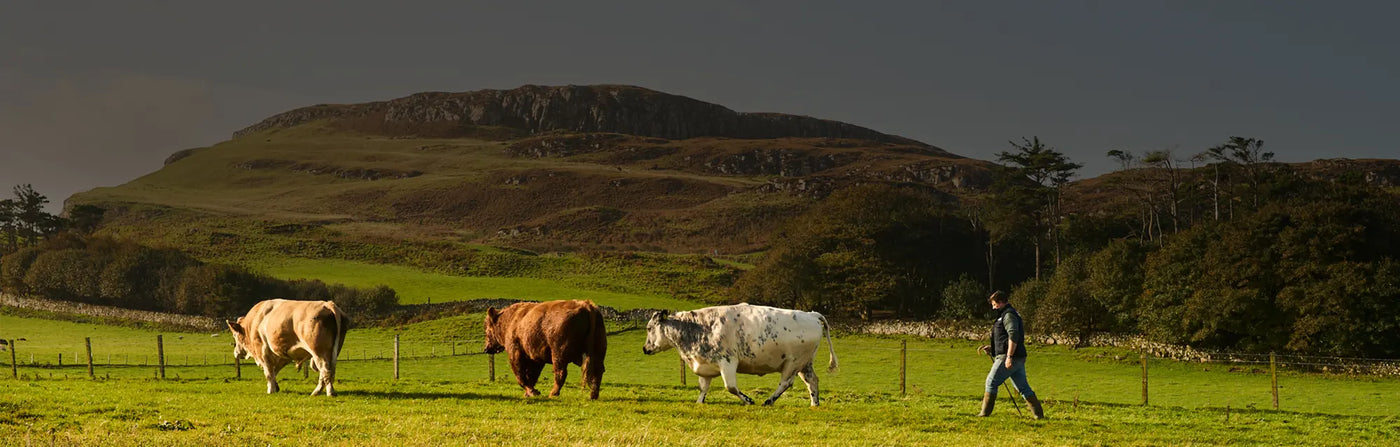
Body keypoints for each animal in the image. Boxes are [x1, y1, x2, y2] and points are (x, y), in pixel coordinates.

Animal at [642, 303, 838, 406]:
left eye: (649, 328)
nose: (645, 349)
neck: (699, 327)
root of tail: (811, 314)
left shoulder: (727, 362)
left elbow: (731, 387)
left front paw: (748, 400)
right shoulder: (705, 365)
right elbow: (703, 388)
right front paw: (699, 402)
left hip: (793, 363)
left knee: (786, 383)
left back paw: (769, 400)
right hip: (805, 364)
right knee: (812, 381)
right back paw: (814, 404)